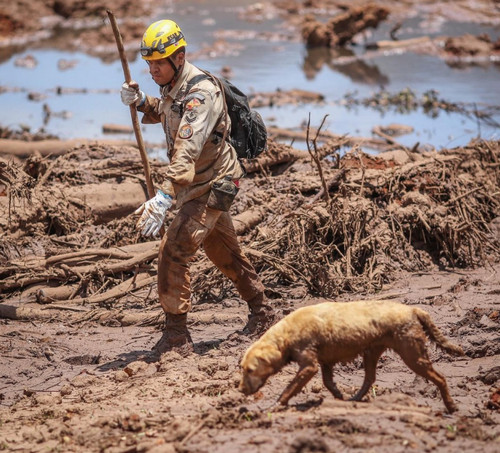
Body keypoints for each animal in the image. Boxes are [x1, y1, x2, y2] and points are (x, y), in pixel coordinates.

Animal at [239, 300, 464, 414]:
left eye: (250, 370)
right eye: (242, 369)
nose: (240, 390)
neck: (285, 335)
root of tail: (413, 309)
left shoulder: (309, 365)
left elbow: (289, 388)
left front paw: (276, 405)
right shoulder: (325, 363)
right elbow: (328, 382)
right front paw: (339, 396)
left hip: (413, 356)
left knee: (440, 378)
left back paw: (451, 406)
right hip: (372, 352)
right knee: (369, 378)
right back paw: (355, 399)